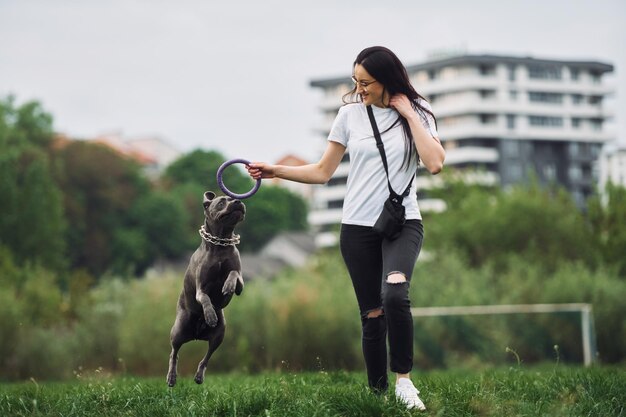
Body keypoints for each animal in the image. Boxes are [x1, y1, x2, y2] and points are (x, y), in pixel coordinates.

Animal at [166, 192, 244, 386]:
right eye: (222, 202)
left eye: (233, 198)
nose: (238, 201)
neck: (221, 244)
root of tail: (196, 335)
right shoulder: (200, 289)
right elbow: (206, 298)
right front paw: (209, 315)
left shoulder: (240, 280)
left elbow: (233, 274)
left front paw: (227, 286)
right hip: (178, 330)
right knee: (174, 353)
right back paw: (171, 377)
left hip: (220, 334)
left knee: (206, 357)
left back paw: (199, 376)